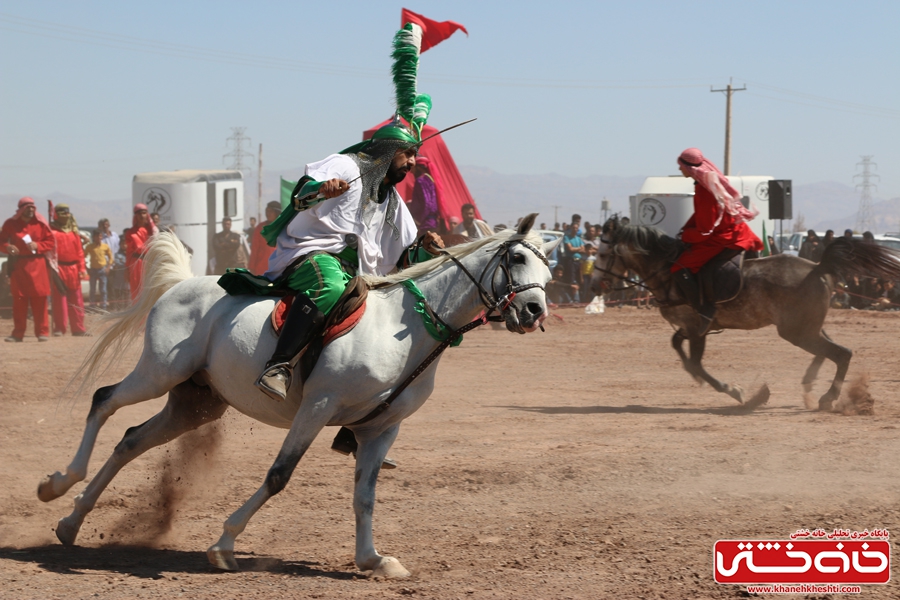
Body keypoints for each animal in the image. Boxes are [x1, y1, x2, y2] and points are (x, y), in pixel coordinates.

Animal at [38, 213, 560, 580]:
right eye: (517, 259)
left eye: (548, 271)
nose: (535, 311)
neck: (406, 325)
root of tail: (184, 283)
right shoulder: (317, 408)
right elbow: (278, 476)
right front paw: (224, 545)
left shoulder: (381, 428)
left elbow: (365, 496)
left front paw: (372, 559)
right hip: (158, 371)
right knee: (104, 400)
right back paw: (59, 483)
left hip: (194, 403)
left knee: (130, 439)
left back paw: (71, 521)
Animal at [592, 218, 900, 410]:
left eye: (604, 254)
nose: (595, 285)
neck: (669, 270)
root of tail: (817, 267)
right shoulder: (687, 326)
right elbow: (678, 347)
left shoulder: (697, 326)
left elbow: (696, 363)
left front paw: (735, 391)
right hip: (806, 327)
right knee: (829, 349)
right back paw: (811, 381)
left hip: (796, 331)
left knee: (842, 353)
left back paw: (827, 397)